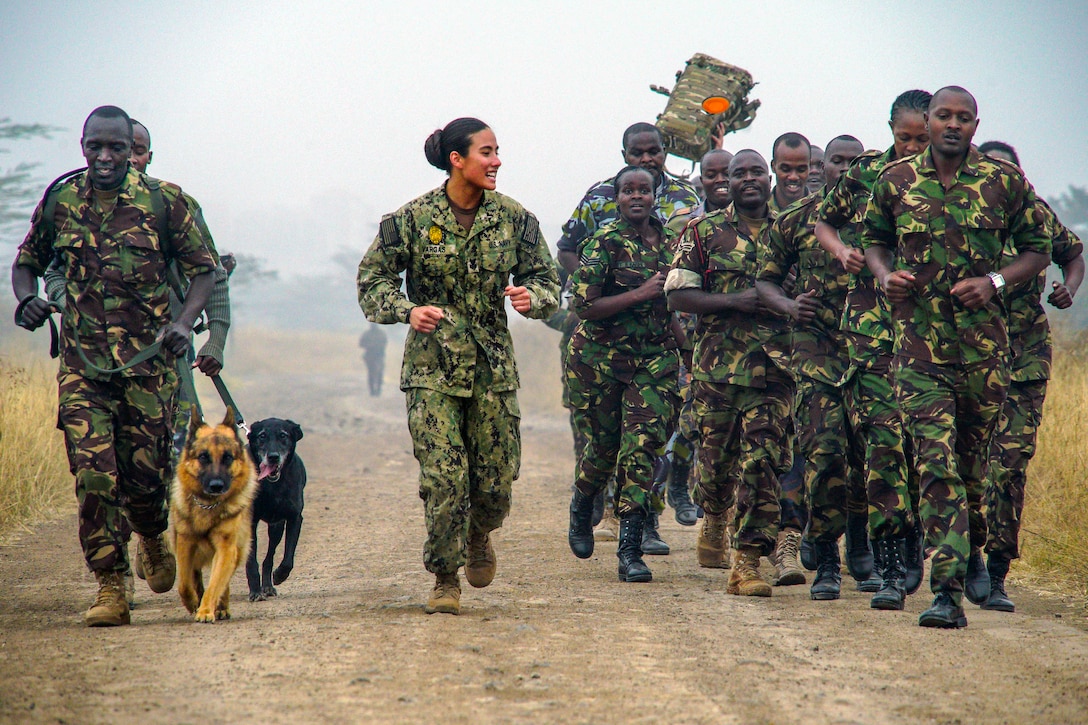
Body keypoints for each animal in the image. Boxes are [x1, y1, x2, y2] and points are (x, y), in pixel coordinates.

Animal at [168, 407, 255, 622]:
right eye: (203, 457)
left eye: (228, 457)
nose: (216, 486)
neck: (208, 506)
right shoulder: (185, 543)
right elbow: (184, 583)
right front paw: (193, 603)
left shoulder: (225, 548)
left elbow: (216, 584)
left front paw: (206, 610)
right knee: (194, 577)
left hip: (237, 551)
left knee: (223, 580)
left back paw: (220, 607)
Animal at [246, 418, 306, 596]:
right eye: (262, 436)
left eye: (283, 435)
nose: (273, 457)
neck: (274, 485)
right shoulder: (251, 520)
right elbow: (251, 560)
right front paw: (255, 591)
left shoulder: (294, 517)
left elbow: (288, 558)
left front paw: (279, 575)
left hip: (276, 527)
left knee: (270, 555)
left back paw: (267, 586)